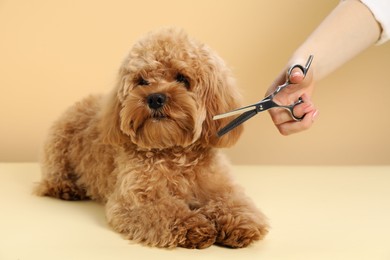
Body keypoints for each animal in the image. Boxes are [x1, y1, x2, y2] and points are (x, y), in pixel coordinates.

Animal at [35, 27, 268, 249]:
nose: (155, 98)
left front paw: (241, 223)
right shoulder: (135, 200)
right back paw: (66, 189)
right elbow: (168, 210)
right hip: (58, 147)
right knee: (52, 178)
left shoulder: (219, 186)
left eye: (182, 78)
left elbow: (232, 201)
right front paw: (194, 225)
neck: (173, 152)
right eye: (142, 81)